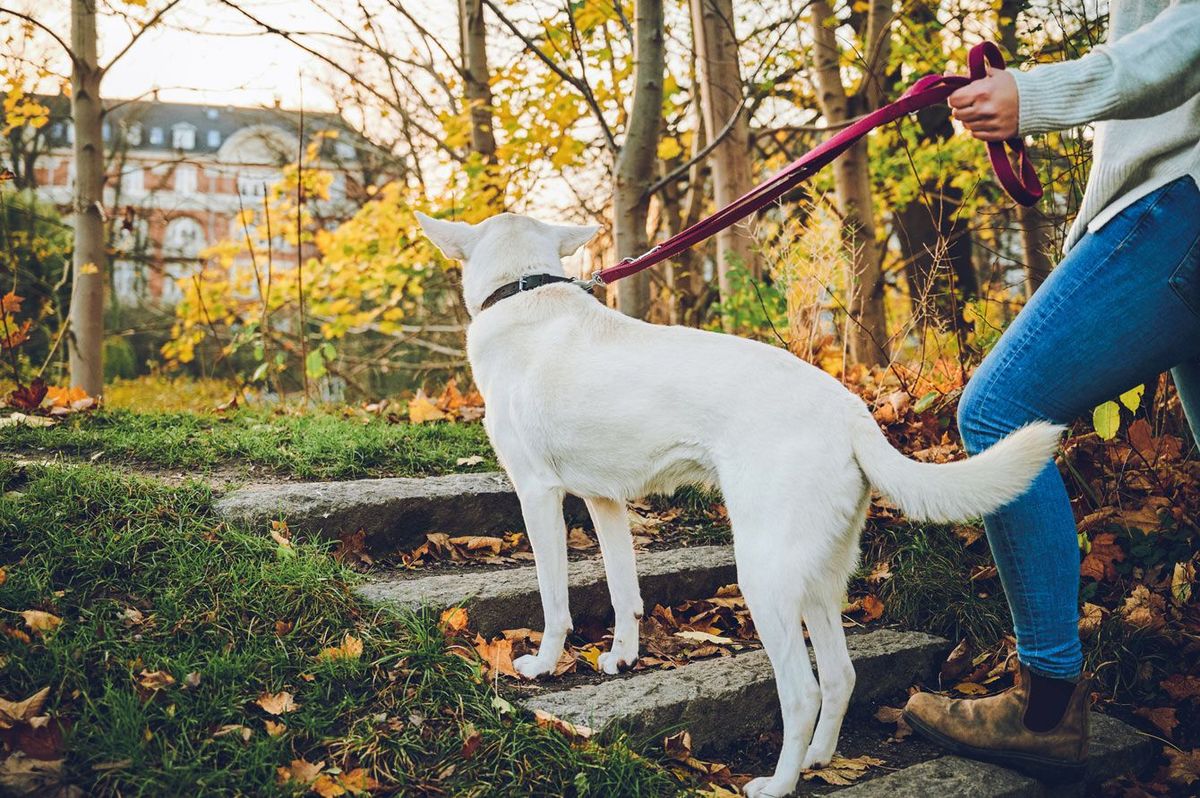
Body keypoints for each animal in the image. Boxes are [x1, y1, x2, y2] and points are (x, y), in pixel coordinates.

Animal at [417, 211, 1065, 796]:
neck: (525, 289)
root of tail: (851, 412)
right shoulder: (605, 500)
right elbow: (625, 593)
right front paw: (623, 658)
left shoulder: (538, 493)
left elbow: (554, 601)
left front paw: (543, 665)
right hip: (818, 579)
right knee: (840, 674)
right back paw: (818, 760)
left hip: (763, 577)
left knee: (803, 692)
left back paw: (777, 784)